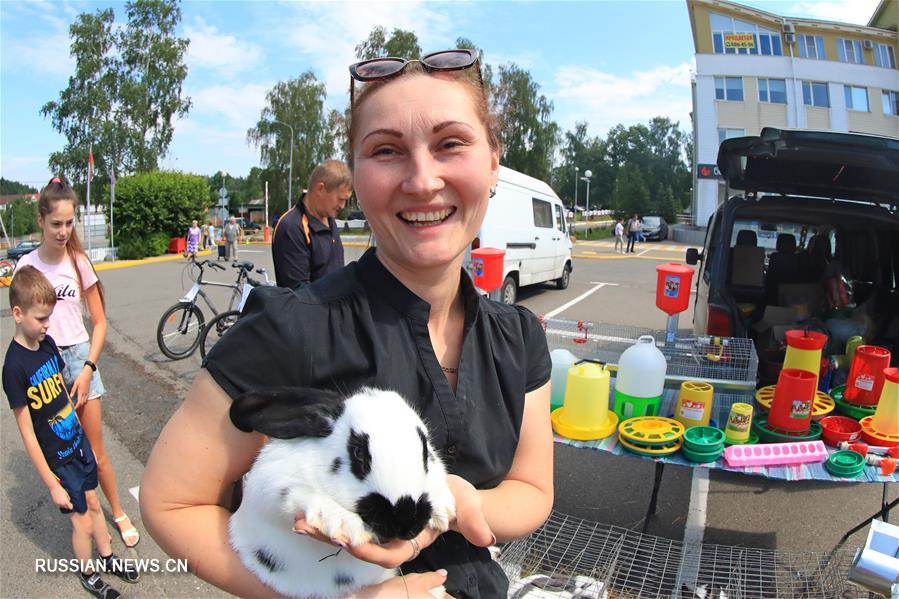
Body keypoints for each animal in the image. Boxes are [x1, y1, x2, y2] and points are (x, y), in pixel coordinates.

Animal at [230, 386, 458, 599]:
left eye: (426, 453)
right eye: (358, 454)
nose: (406, 525)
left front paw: (443, 510)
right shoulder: (272, 482)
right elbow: (296, 492)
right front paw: (346, 525)